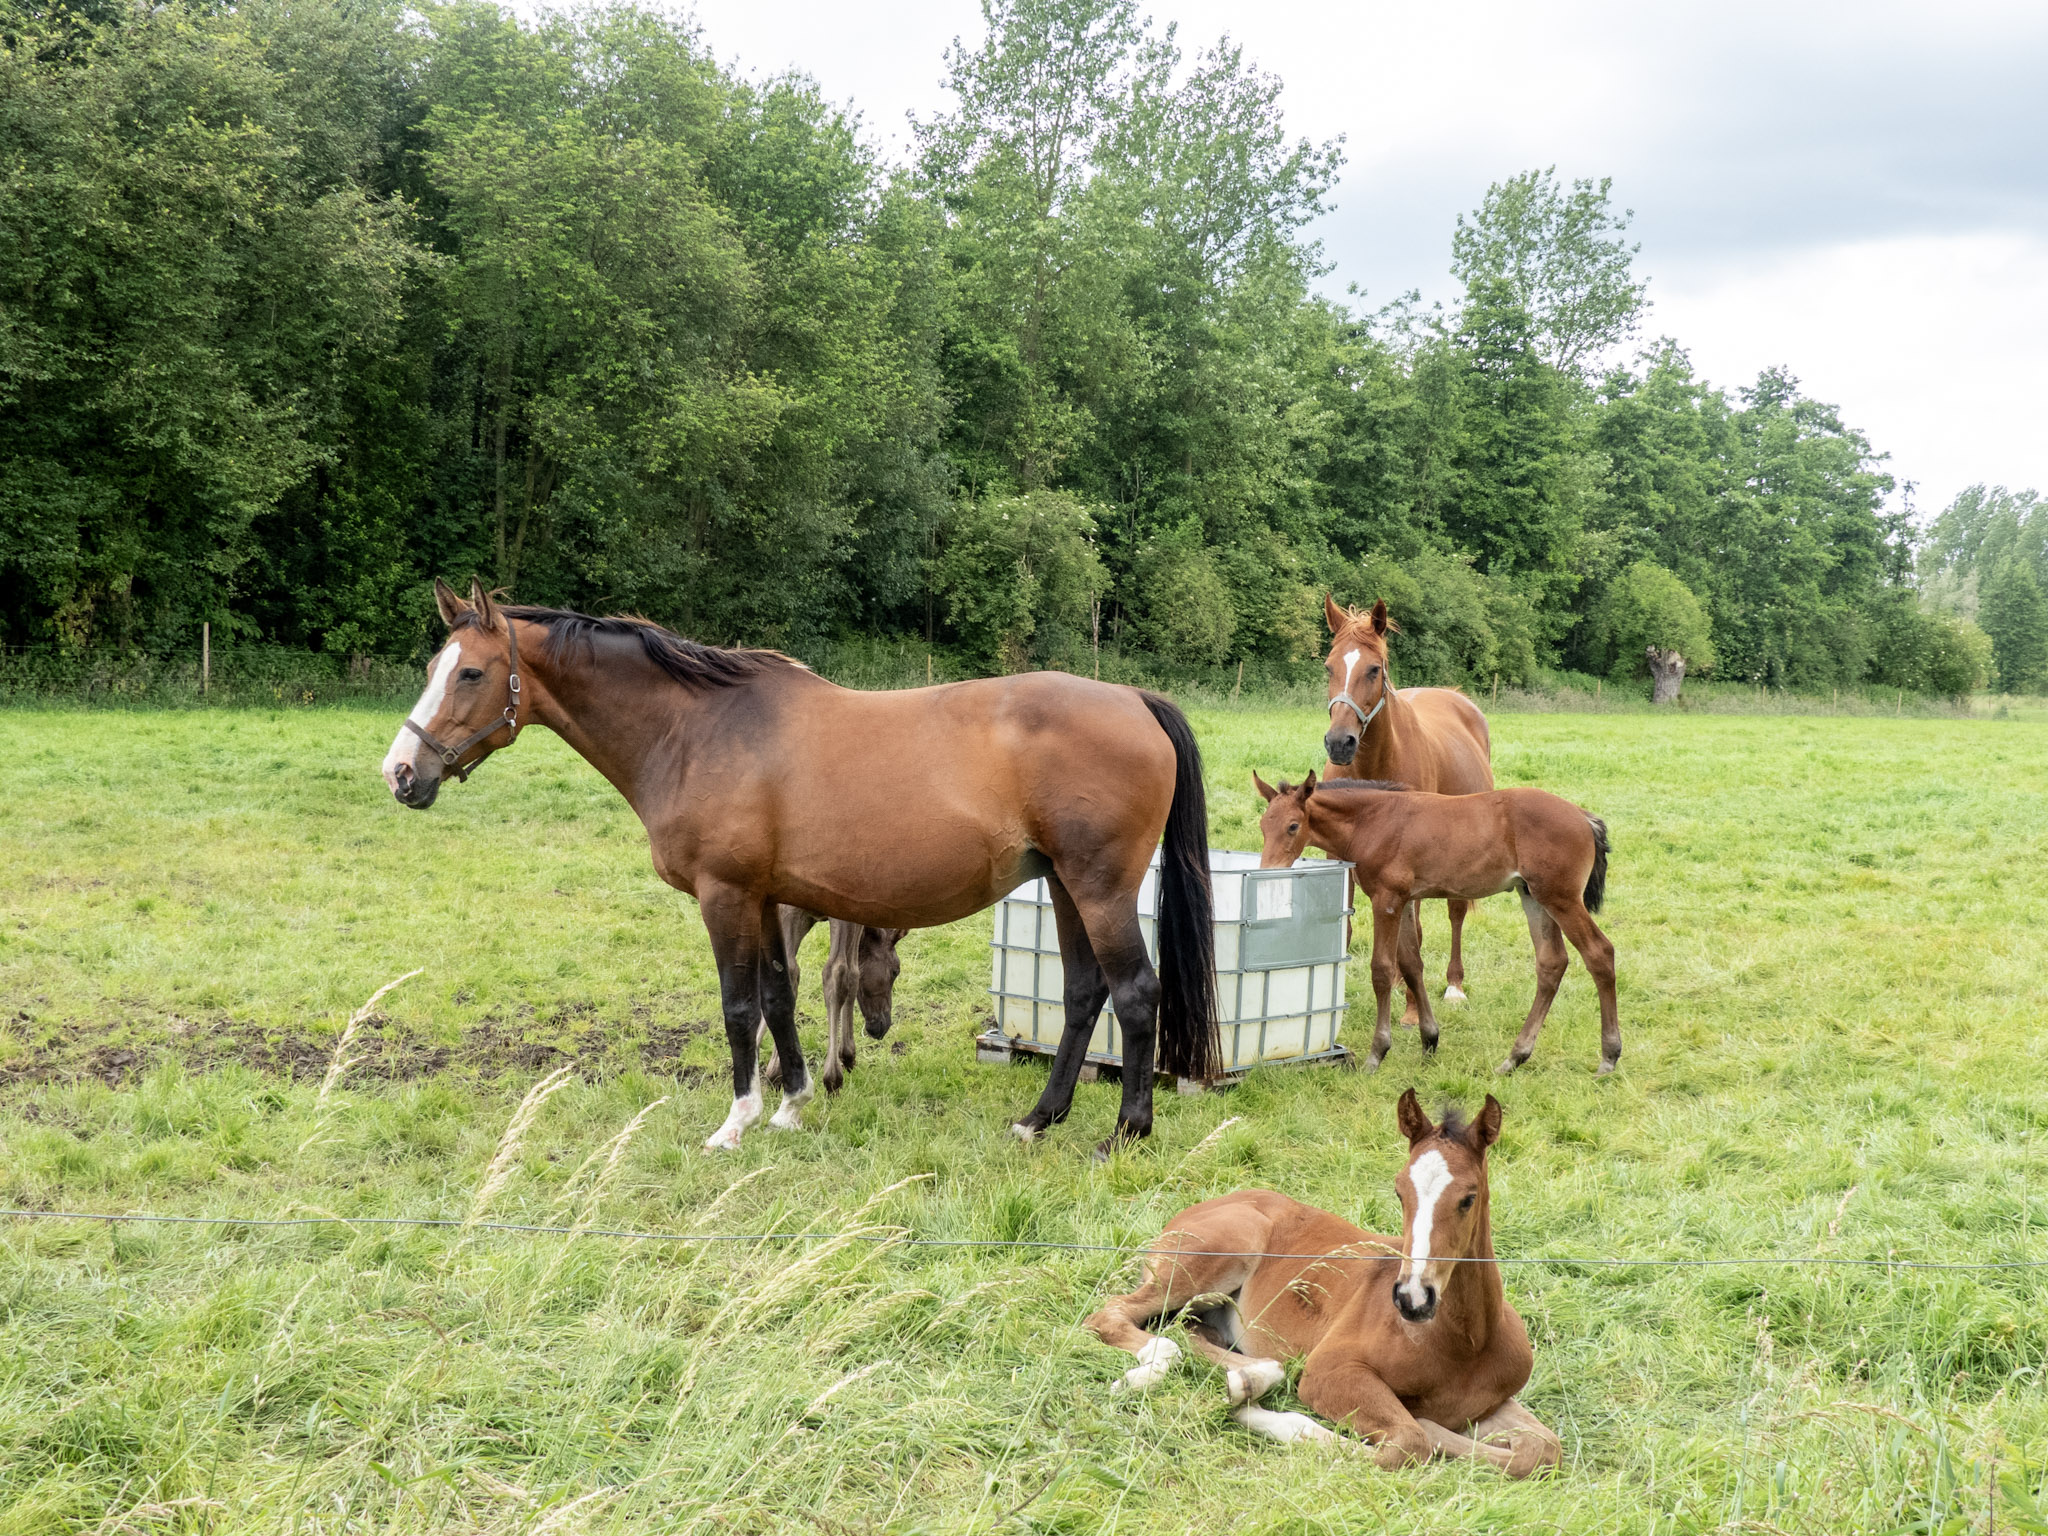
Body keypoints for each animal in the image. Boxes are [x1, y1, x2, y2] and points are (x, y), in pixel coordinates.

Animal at [761, 910, 905, 1096]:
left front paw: (775, 1073)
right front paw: (848, 1056)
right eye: (896, 971)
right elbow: (853, 973)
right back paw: (833, 1079)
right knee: (836, 971)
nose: (883, 1025)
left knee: (787, 969)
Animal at [1085, 1090, 1560, 1477]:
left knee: (1188, 1333)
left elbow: (1541, 1451)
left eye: (1469, 1197)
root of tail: (1189, 1212)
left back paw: (1247, 1377)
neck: (1466, 1342)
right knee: (1115, 1317)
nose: (1413, 1298)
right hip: (1212, 1260)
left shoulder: (1493, 1401)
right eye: (1399, 1192)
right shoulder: (1330, 1370)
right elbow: (1408, 1443)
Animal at [1255, 771, 1619, 1076]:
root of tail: (1584, 817)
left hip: (1561, 898)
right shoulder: (1402, 902)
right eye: (1262, 825)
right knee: (1551, 963)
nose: (1268, 873)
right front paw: (1429, 1039)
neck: (1372, 821)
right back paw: (1514, 1058)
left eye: (1292, 826)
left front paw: (1377, 1053)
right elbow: (1411, 965)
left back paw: (1609, 1056)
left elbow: (1382, 970)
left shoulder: (1385, 901)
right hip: (1533, 896)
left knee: (1599, 953)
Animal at [1319, 596, 1493, 1014]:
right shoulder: (1338, 853)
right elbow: (1348, 927)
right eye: (1329, 666)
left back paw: (1453, 984)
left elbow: (1413, 934)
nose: (1339, 742)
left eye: (1373, 669)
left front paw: (1415, 1010)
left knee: (1454, 912)